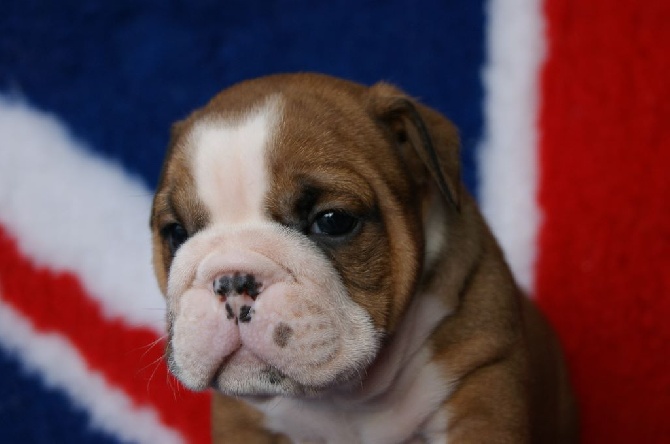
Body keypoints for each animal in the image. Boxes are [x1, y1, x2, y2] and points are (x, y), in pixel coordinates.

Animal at [151, 73, 576, 444]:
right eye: (176, 232)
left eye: (333, 221)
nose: (231, 279)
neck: (349, 396)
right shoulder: (245, 423)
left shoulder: (480, 387)